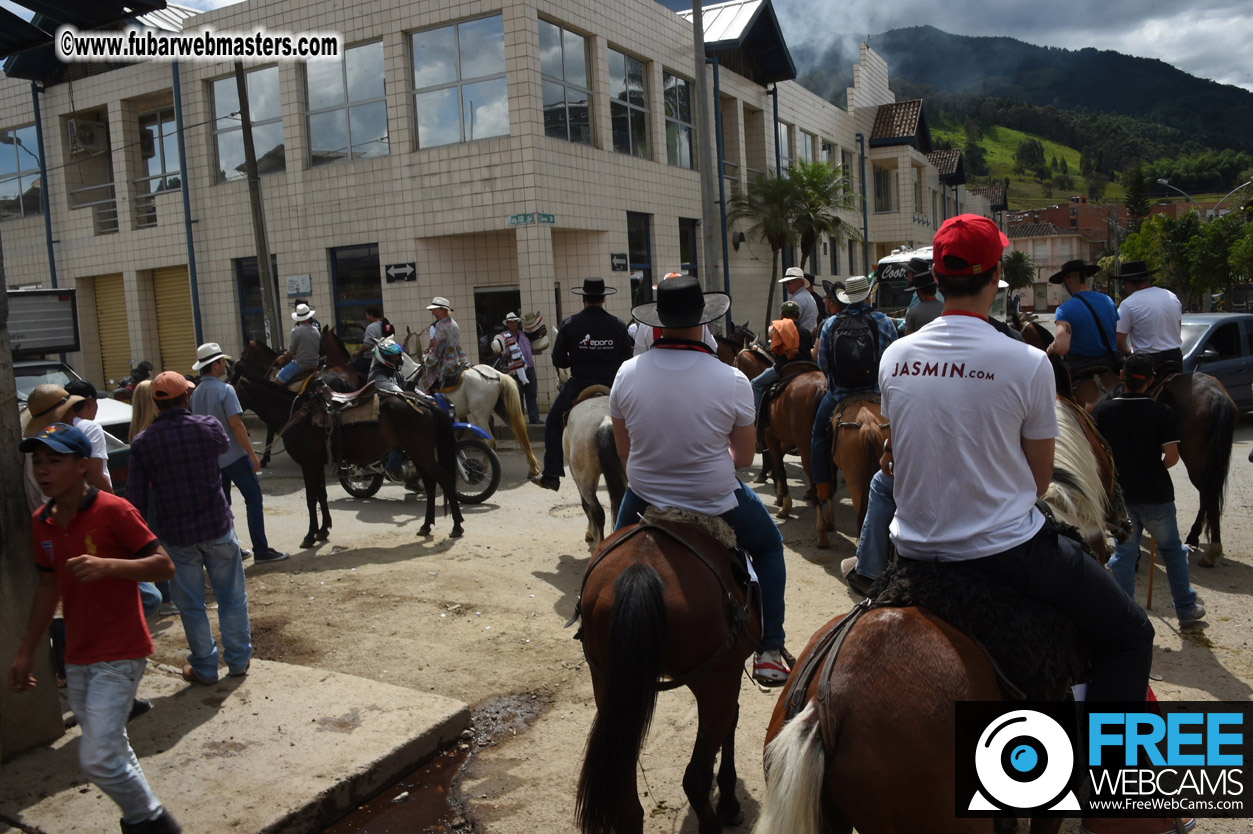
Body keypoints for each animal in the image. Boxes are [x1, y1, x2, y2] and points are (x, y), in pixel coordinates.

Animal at [231, 358, 466, 545]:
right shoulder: (316, 463)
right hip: (419, 454)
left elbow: (311, 498)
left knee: (445, 480)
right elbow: (321, 495)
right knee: (430, 484)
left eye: (231, 388)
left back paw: (456, 526)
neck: (296, 415)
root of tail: (425, 403)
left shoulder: (308, 463)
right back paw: (426, 526)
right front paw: (323, 530)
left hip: (422, 454)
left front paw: (309, 536)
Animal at [566, 388, 626, 548]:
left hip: (585, 479)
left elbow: (585, 506)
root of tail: (605, 420)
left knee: (597, 510)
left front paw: (590, 532)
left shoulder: (575, 475)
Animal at [573, 505, 756, 831]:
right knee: (695, 780)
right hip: (715, 681)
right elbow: (733, 720)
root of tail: (641, 568)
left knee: (627, 805)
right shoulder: (729, 674)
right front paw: (729, 802)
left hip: (608, 683)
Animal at [756, 368, 826, 515]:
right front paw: (779, 494)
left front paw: (784, 503)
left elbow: (779, 467)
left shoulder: (770, 437)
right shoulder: (786, 439)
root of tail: (821, 386)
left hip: (806, 447)